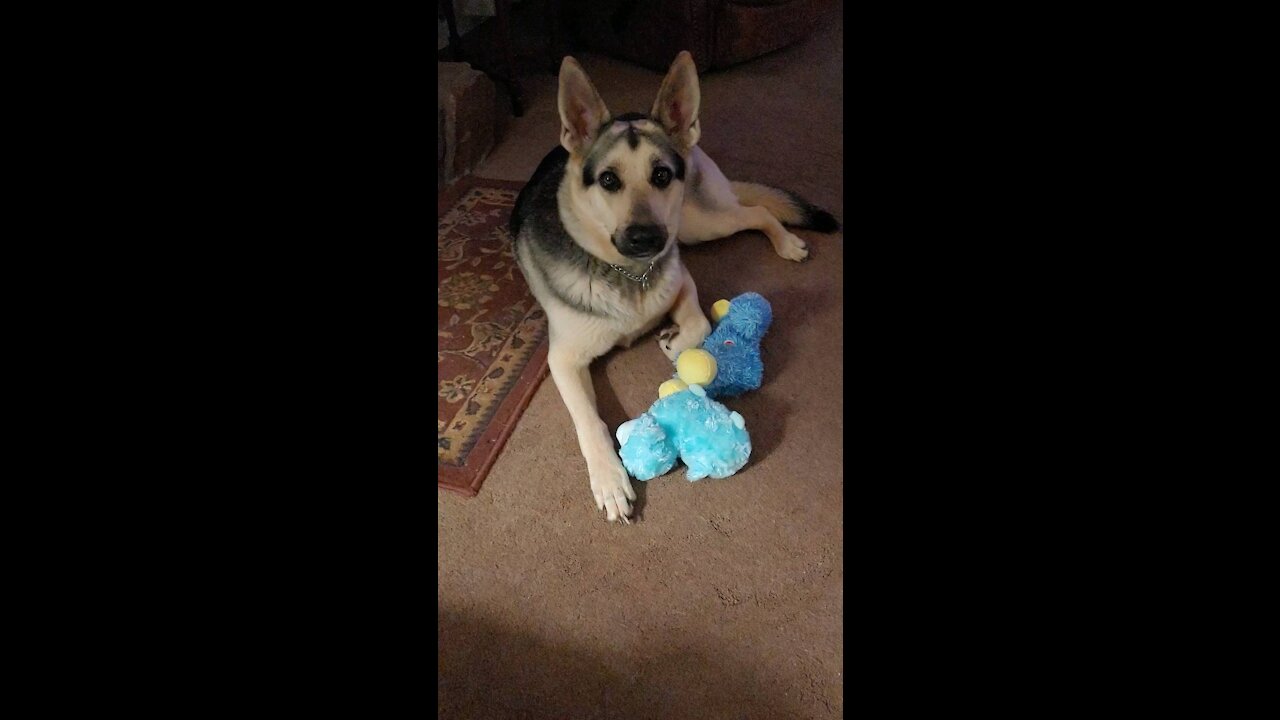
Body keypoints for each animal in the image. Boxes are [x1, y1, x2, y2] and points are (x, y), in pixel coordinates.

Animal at [509, 51, 839, 520]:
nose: (645, 239)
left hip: (695, 224)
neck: (629, 274)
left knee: (755, 211)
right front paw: (609, 480)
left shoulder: (680, 275)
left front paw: (674, 341)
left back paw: (787, 242)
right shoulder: (564, 359)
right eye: (608, 180)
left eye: (662, 175)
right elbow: (590, 420)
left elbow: (699, 321)